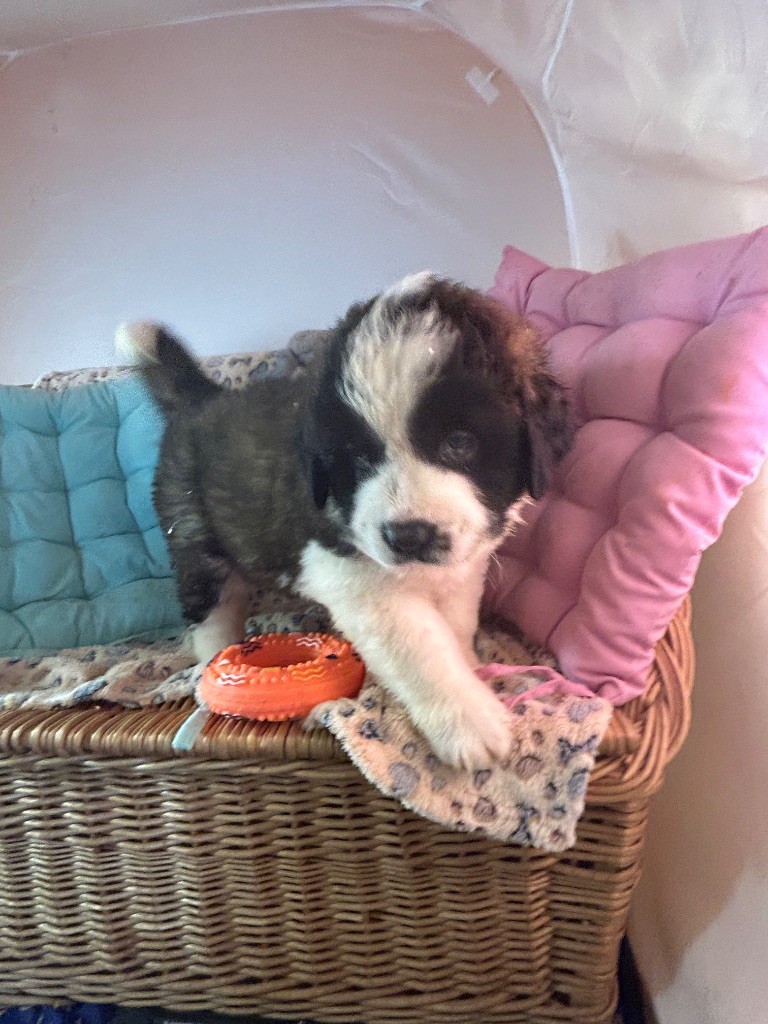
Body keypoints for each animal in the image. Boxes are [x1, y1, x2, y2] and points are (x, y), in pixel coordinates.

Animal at [120, 273, 573, 769]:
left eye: (459, 443)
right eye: (357, 459)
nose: (407, 536)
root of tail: (203, 402)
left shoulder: (462, 568)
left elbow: (455, 627)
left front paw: (471, 671)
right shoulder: (359, 584)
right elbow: (422, 651)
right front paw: (470, 720)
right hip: (194, 537)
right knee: (210, 606)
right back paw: (213, 658)